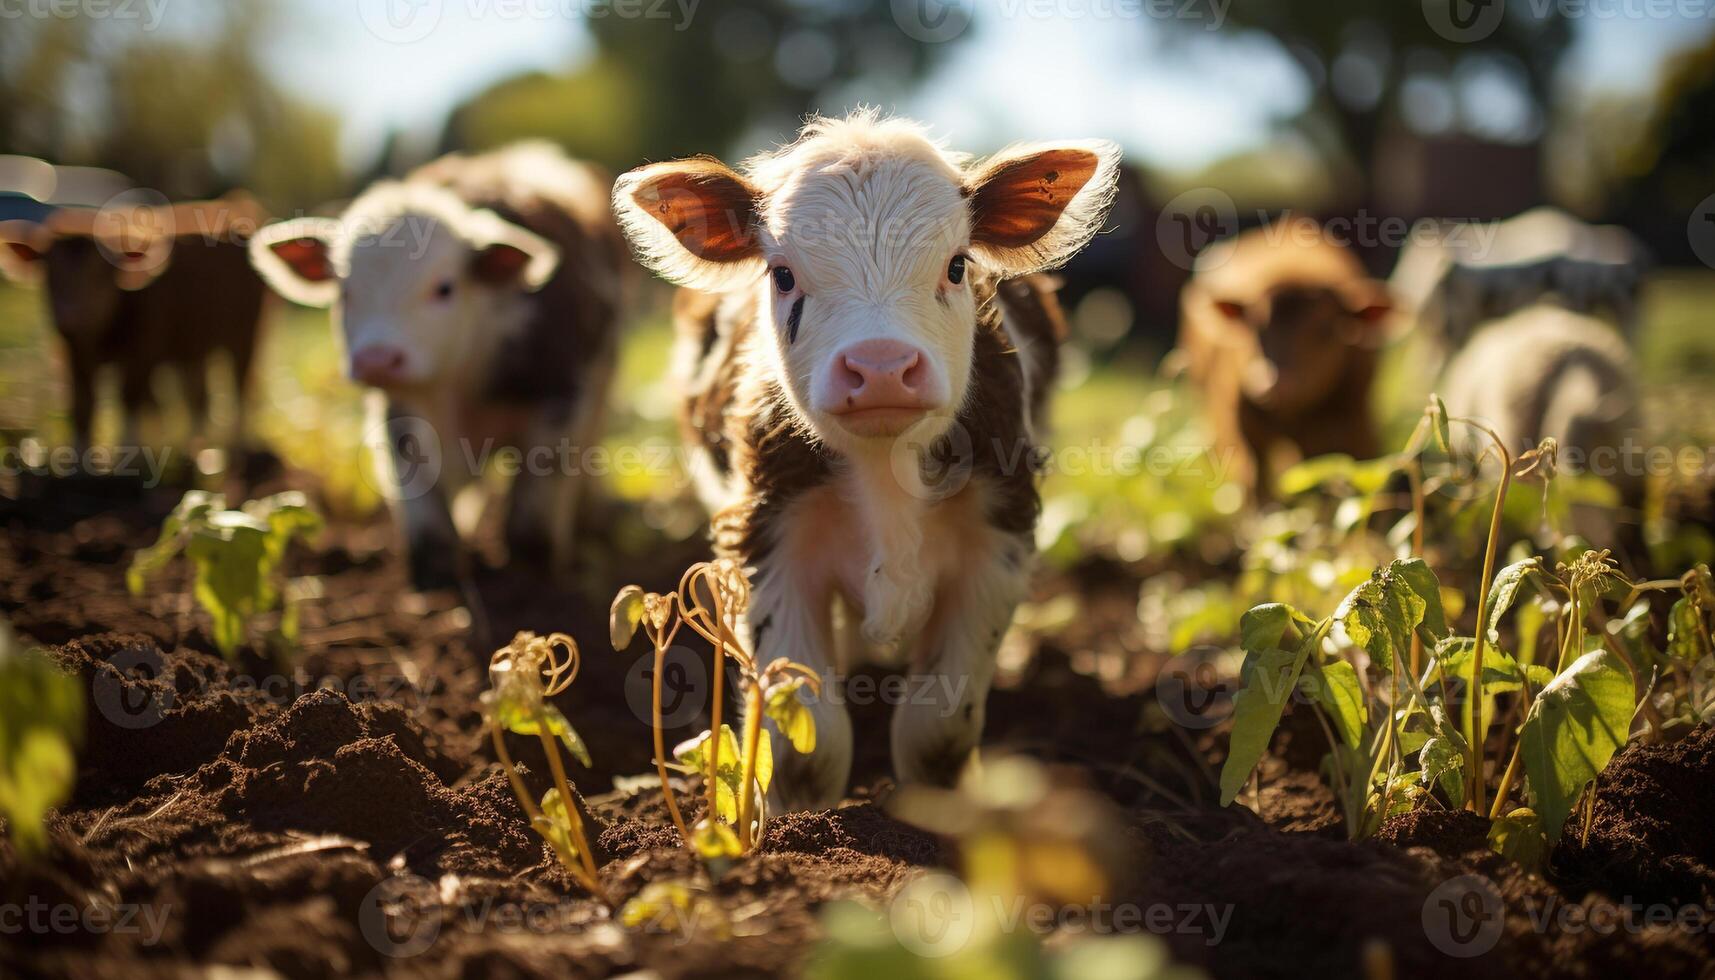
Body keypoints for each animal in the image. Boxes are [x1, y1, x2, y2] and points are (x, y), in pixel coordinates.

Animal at [0, 195, 270, 449]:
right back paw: (195, 447)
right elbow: (82, 408)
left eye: (101, 271)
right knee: (198, 396)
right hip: (193, 348)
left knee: (239, 387)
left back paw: (238, 445)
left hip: (245, 335)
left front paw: (129, 453)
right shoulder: (73, 357)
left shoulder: (142, 354)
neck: (102, 338)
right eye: (49, 269)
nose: (72, 316)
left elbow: (129, 401)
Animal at [250, 142, 634, 590]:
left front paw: (530, 571)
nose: (376, 358)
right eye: (344, 293)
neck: (461, 381)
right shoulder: (400, 409)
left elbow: (542, 487)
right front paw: (437, 573)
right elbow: (416, 485)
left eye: (445, 288)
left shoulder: (562, 391)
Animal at [610, 111, 1118, 810]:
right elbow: (809, 739)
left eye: (957, 265)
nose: (880, 367)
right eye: (782, 274)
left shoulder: (1002, 537)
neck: (885, 473)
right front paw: (798, 819)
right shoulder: (766, 537)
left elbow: (937, 727)